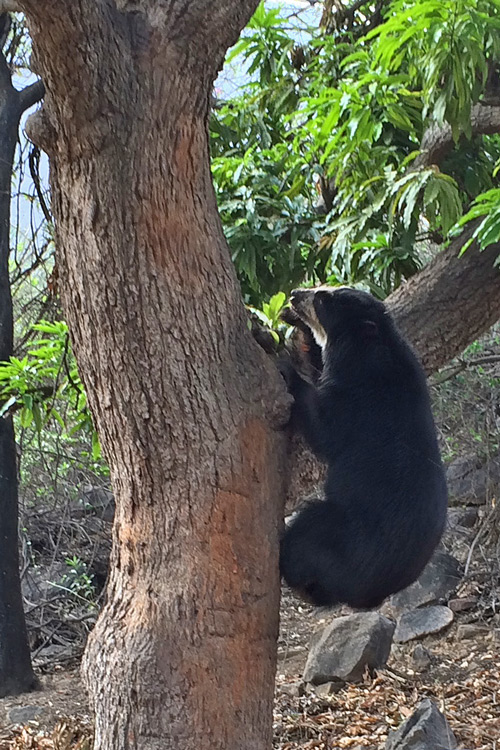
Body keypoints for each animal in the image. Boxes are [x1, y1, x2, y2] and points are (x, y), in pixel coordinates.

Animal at [280, 288, 448, 612]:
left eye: (322, 299)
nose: (294, 295)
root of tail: (372, 597)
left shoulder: (361, 397)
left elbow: (325, 429)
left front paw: (281, 360)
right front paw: (298, 332)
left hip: (344, 540)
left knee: (307, 531)